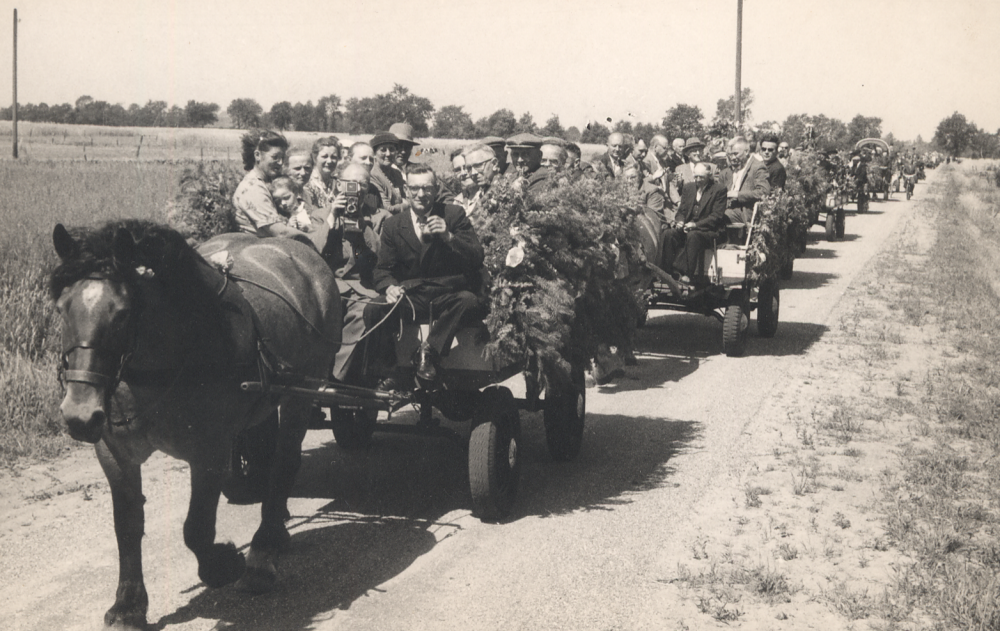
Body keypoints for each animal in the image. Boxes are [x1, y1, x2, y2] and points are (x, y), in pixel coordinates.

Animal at [51, 220, 344, 628]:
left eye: (122, 313)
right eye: (62, 308)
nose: (79, 414)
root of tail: (300, 250)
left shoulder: (209, 453)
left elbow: (197, 528)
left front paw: (224, 564)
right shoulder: (114, 454)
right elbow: (127, 526)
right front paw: (128, 605)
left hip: (301, 393)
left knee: (285, 462)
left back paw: (261, 554)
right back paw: (275, 535)